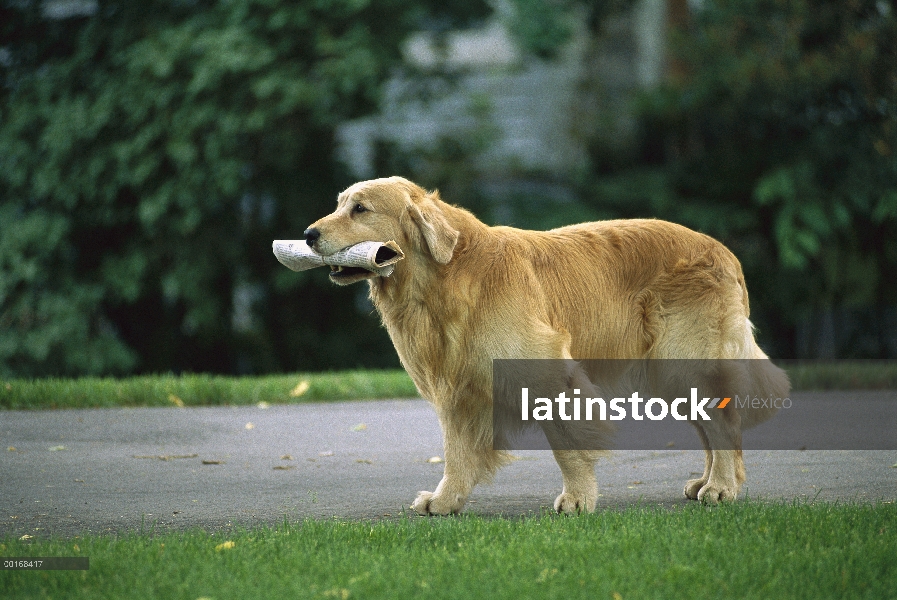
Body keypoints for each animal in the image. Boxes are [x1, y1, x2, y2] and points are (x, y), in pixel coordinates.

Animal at [304, 176, 788, 512]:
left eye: (360, 209)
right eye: (338, 205)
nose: (308, 234)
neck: (444, 279)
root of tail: (724, 251)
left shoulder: (546, 371)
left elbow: (566, 441)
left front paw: (578, 499)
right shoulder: (458, 389)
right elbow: (456, 451)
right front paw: (445, 501)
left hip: (683, 360)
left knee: (723, 423)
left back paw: (721, 487)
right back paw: (711, 482)